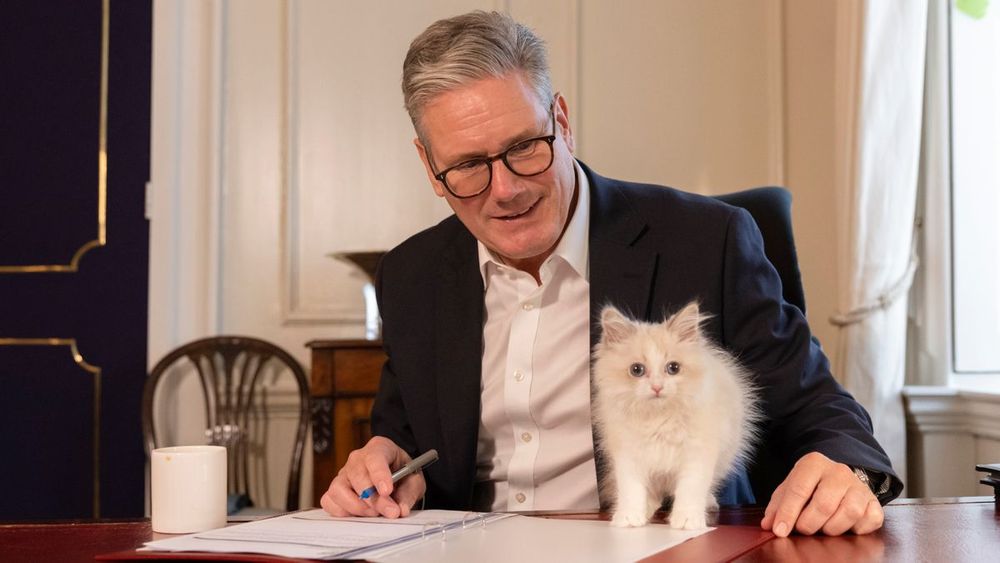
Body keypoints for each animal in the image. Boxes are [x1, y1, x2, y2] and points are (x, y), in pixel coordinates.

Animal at [592, 302, 756, 532]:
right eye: (636, 370)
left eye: (673, 368)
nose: (657, 387)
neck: (659, 419)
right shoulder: (627, 454)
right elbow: (631, 489)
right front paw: (629, 517)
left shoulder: (698, 453)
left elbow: (690, 489)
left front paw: (687, 520)